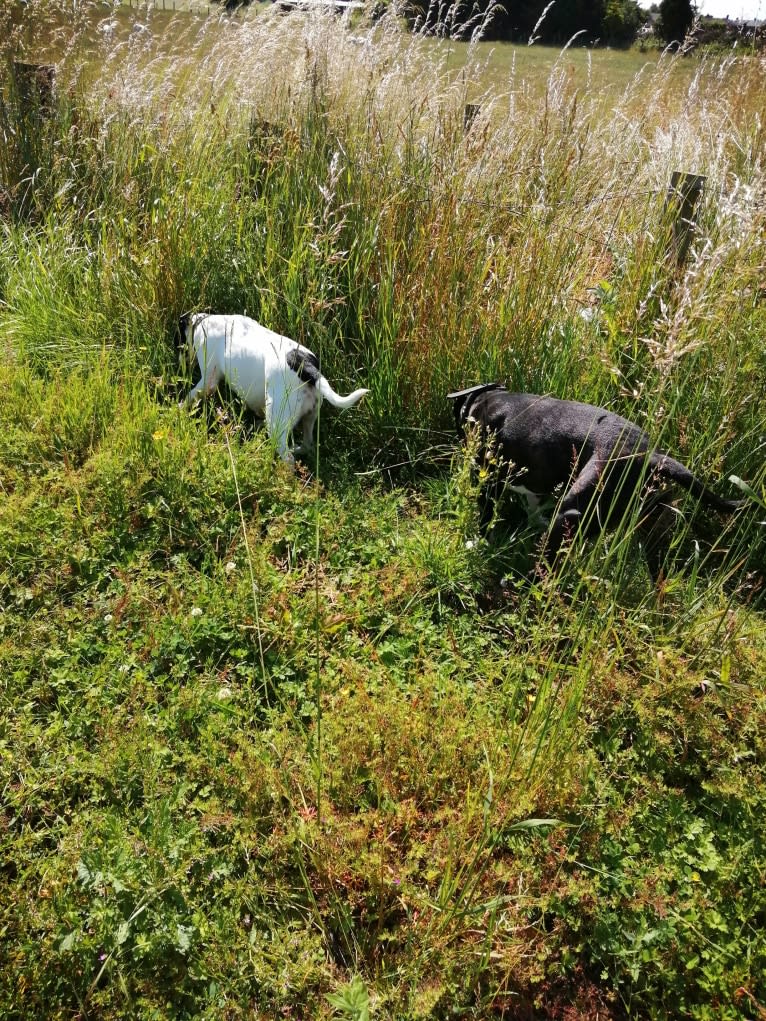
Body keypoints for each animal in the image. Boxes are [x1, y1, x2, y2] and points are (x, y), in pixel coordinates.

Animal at [179, 310, 371, 463]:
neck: (202, 322)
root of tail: (305, 365)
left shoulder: (208, 381)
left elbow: (191, 395)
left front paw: (179, 408)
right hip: (310, 416)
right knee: (307, 445)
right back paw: (297, 449)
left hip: (277, 424)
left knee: (288, 458)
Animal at [449, 383, 743, 579]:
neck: (484, 401)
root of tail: (652, 458)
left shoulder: (489, 483)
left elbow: (485, 521)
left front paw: (476, 544)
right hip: (652, 529)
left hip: (572, 512)